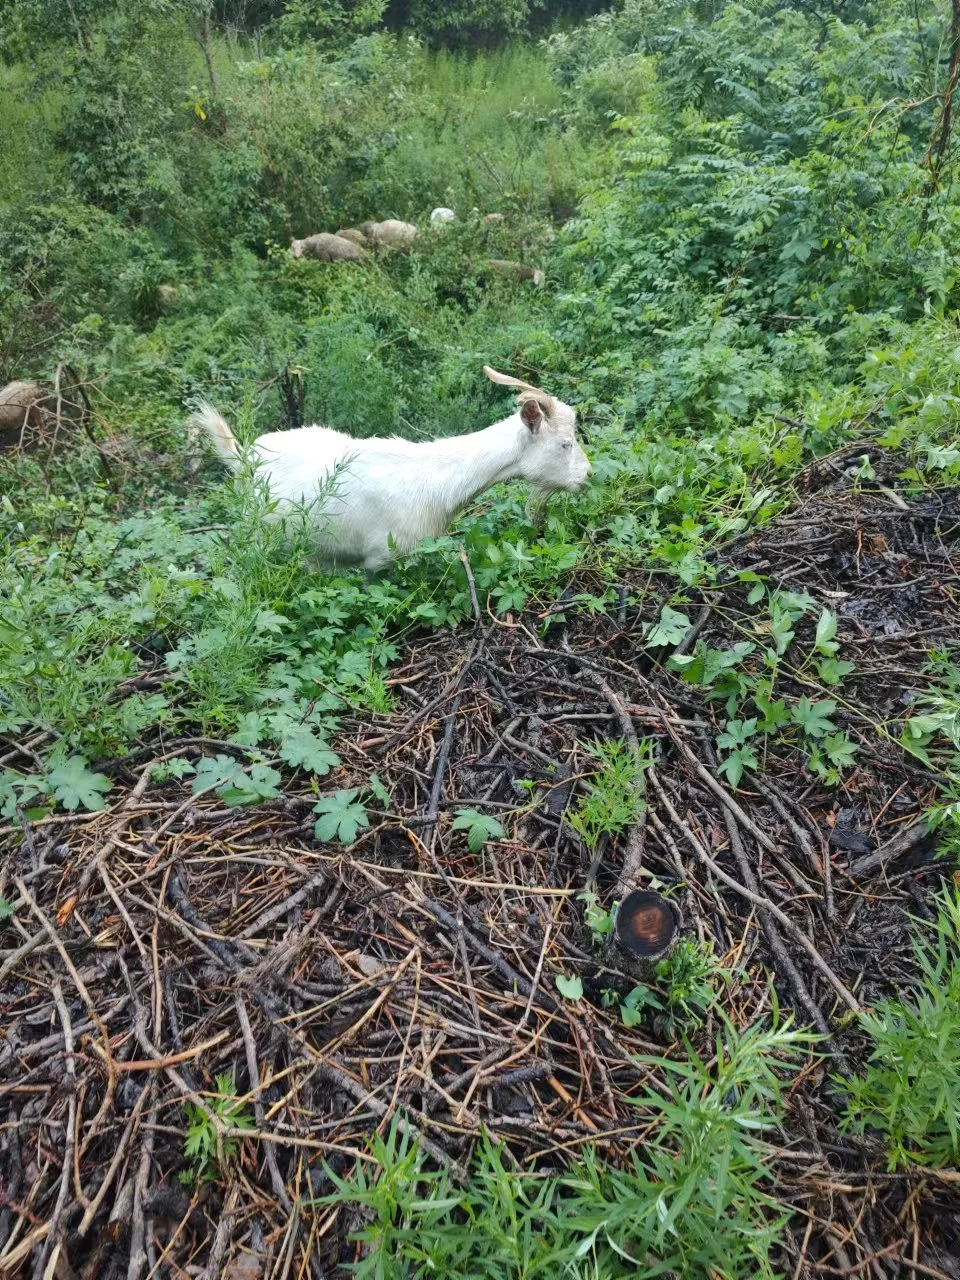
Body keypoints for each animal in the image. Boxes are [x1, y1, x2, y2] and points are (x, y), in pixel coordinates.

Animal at [189, 368, 593, 573]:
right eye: (564, 443)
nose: (587, 476)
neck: (437, 478)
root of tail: (243, 456)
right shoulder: (379, 559)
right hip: (261, 534)